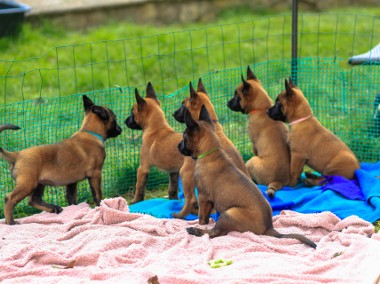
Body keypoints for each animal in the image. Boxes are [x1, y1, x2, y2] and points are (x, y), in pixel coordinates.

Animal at [0, 95, 121, 224]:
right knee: (10, 198)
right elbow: (97, 195)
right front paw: (100, 206)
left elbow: (71, 198)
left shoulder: (72, 181)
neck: (90, 133)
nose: (120, 129)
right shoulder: (95, 174)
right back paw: (11, 222)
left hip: (38, 184)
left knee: (33, 200)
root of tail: (17, 154)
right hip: (28, 184)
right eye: (114, 119)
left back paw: (53, 208)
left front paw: (74, 210)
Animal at [178, 105, 318, 248]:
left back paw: (195, 230)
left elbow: (202, 217)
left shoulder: (203, 196)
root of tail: (268, 228)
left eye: (184, 137)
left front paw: (199, 224)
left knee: (215, 233)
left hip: (229, 213)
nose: (178, 146)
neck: (210, 152)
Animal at [227, 67, 290, 199]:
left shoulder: (253, 144)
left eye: (237, 95)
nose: (227, 103)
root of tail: (280, 180)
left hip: (252, 160)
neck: (262, 108)